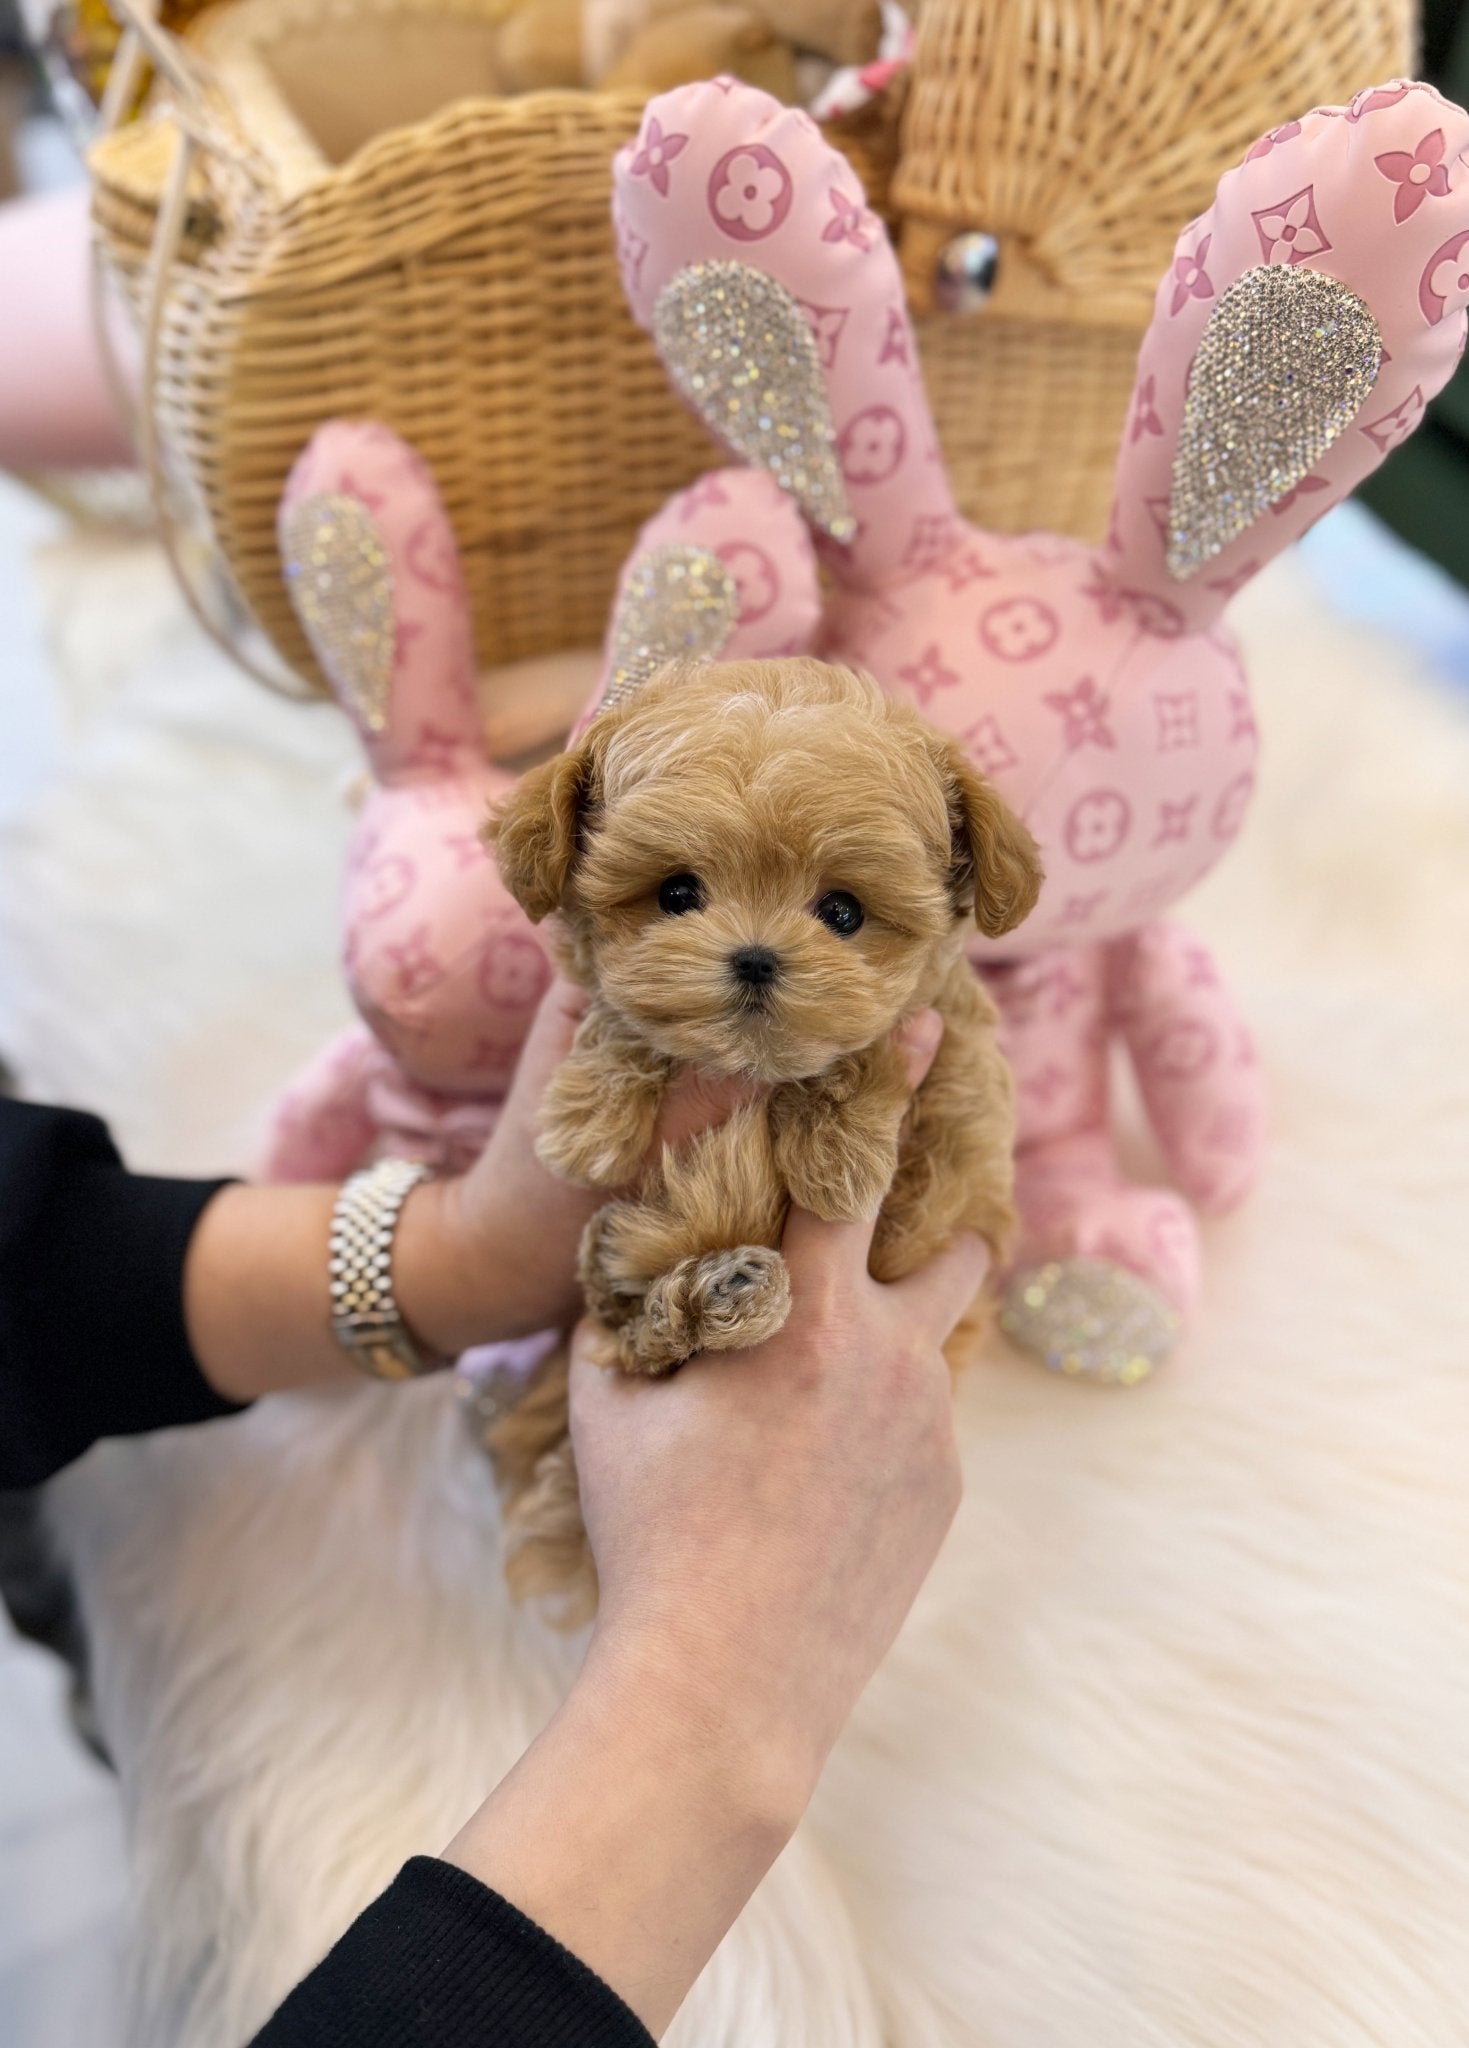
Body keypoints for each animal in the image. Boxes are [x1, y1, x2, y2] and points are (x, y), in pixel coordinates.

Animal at [487, 655, 1036, 1613]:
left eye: (843, 912)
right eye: (676, 893)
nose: (752, 958)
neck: (750, 1071)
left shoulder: (955, 1112)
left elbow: (870, 1051)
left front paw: (837, 1154)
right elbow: (626, 1018)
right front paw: (587, 1116)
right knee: (630, 1326)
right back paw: (707, 1291)